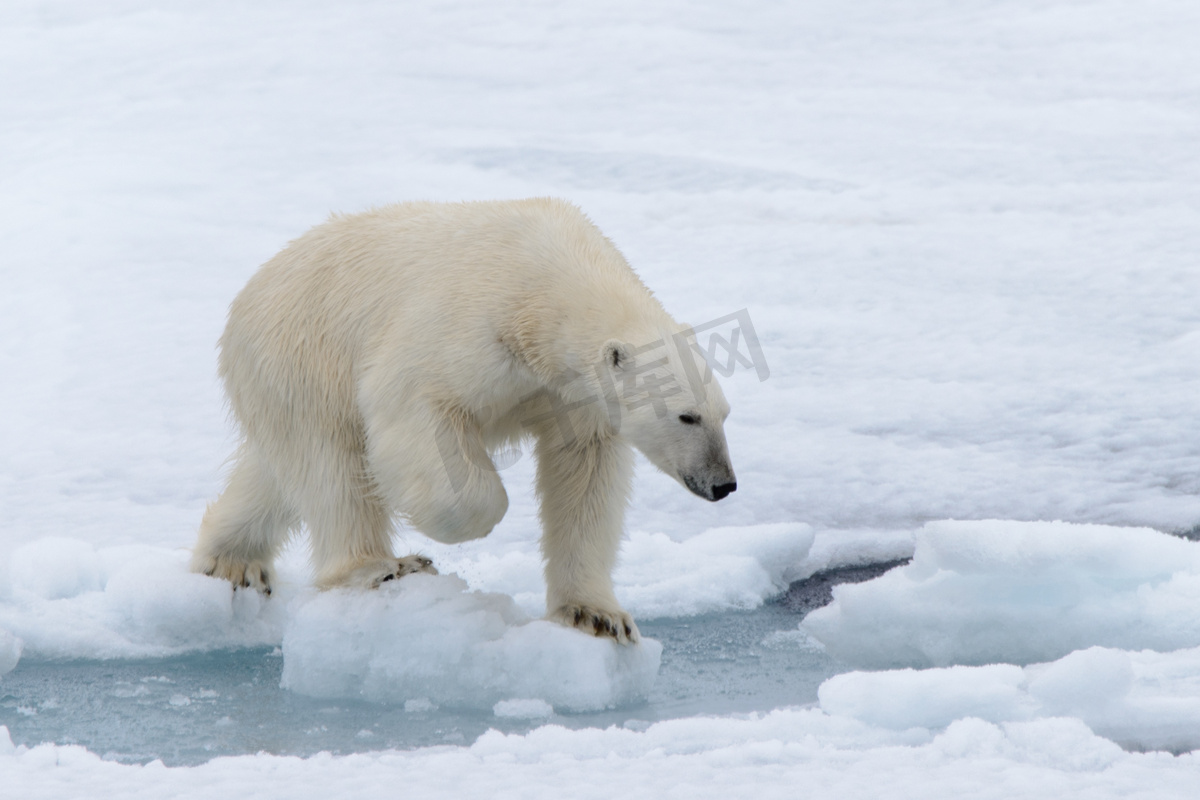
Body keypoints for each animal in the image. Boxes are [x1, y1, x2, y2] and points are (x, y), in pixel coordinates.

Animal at [190, 200, 734, 642]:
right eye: (687, 416)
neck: (547, 279)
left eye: (725, 414)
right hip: (303, 355)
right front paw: (468, 514)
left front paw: (596, 615)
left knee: (276, 474)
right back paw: (382, 566)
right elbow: (412, 410)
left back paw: (232, 562)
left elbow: (585, 477)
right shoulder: (468, 325)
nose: (723, 483)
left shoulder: (572, 394)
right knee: (331, 467)